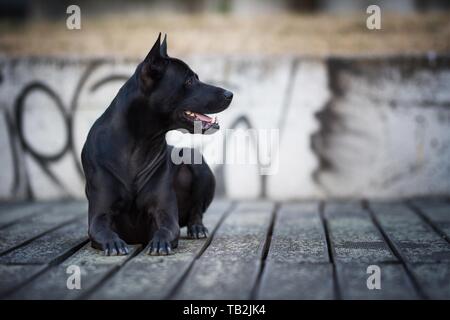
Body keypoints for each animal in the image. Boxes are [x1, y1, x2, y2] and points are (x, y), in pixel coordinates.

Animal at [81, 34, 234, 255]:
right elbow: (102, 230)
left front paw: (160, 243)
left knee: (197, 211)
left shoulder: (165, 214)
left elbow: (166, 229)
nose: (230, 94)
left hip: (197, 164)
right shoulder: (99, 216)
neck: (139, 143)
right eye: (189, 80)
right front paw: (114, 243)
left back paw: (197, 227)